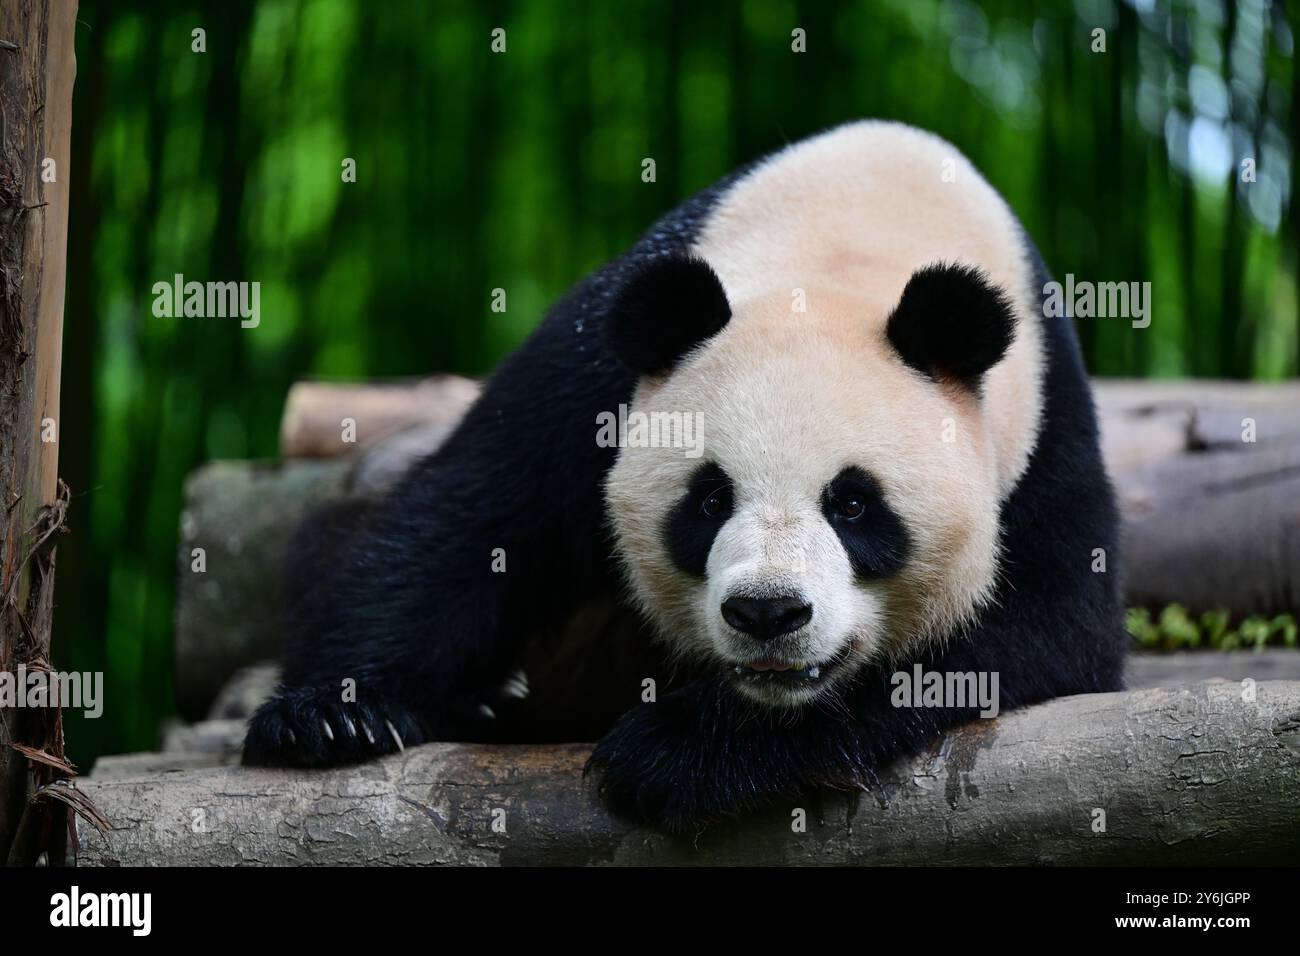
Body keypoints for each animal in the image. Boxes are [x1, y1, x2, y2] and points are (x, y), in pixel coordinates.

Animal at [244, 123, 1128, 832]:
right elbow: (474, 517)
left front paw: (682, 753)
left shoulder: (1042, 428)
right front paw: (333, 716)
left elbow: (1044, 627)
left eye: (853, 505)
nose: (768, 613)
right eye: (708, 499)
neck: (850, 254)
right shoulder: (597, 370)